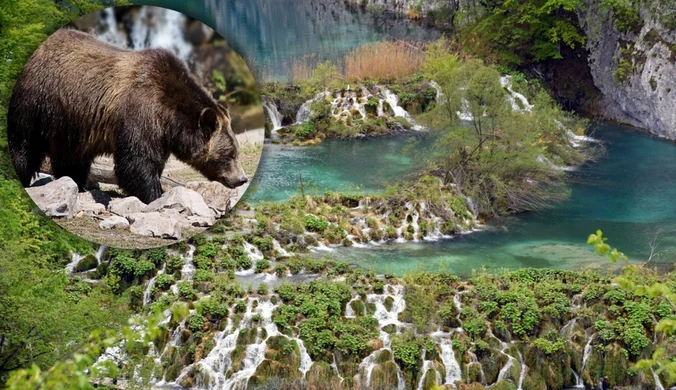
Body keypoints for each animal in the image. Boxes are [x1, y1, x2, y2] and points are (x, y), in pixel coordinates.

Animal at [7, 27, 248, 204]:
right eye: (229, 154)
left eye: (236, 150)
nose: (242, 179)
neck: (170, 117)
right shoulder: (140, 112)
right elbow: (136, 161)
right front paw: (154, 194)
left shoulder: (159, 133)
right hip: (37, 102)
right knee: (24, 145)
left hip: (69, 122)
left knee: (71, 158)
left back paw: (75, 183)